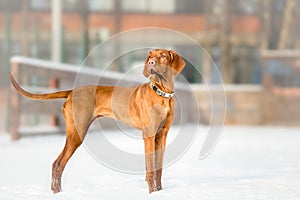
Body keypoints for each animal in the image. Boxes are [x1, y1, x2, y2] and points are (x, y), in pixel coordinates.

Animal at [9, 48, 185, 194]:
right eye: (150, 56)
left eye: (162, 55)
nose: (151, 63)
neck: (162, 93)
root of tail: (72, 91)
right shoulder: (148, 135)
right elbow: (150, 170)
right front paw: (152, 193)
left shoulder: (161, 136)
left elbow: (158, 169)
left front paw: (160, 192)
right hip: (77, 132)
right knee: (58, 163)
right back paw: (58, 192)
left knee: (57, 164)